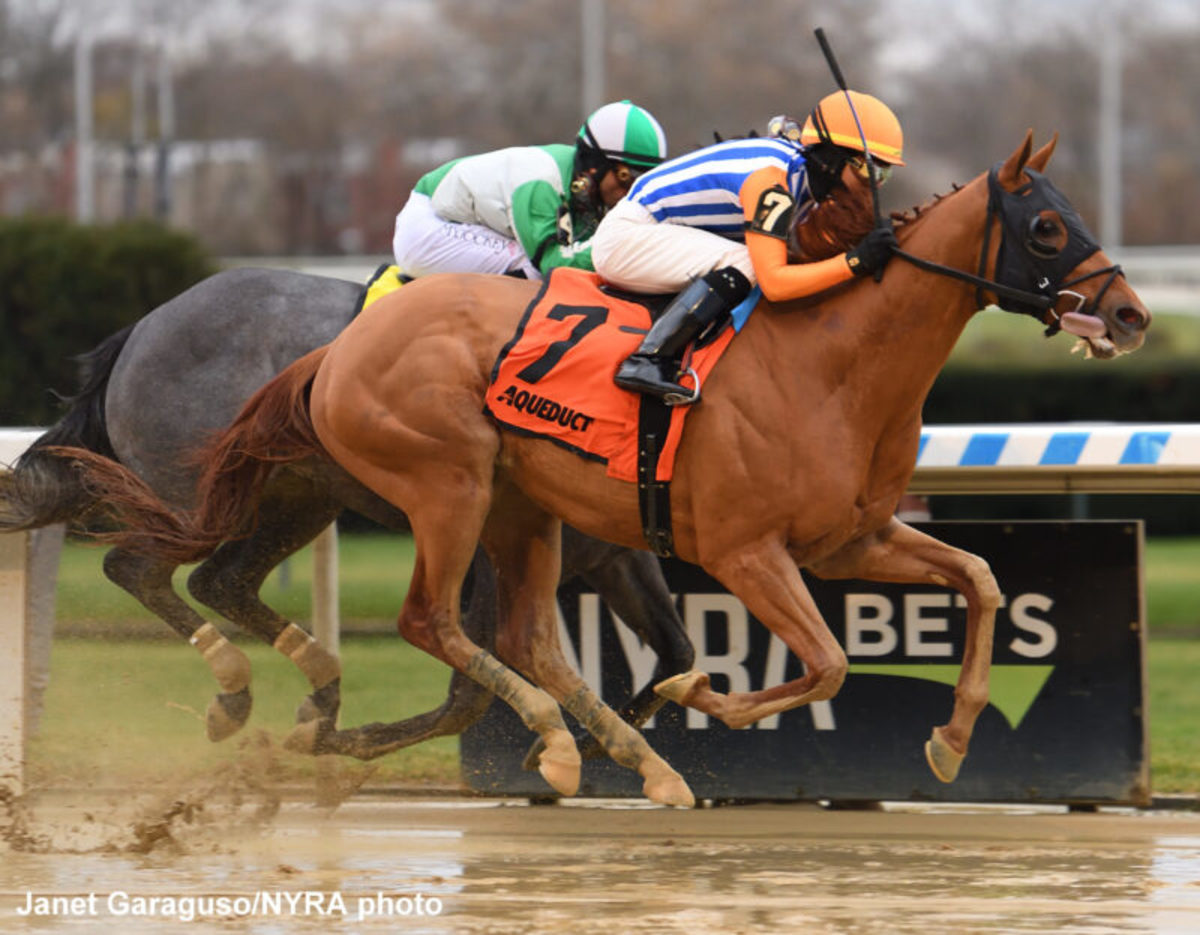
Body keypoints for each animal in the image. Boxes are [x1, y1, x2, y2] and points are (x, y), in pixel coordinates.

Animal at [0, 266, 696, 763]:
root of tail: (142, 328)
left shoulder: (614, 554)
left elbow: (677, 651)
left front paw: (599, 743)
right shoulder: (495, 554)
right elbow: (468, 696)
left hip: (297, 498)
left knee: (219, 580)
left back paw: (316, 686)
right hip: (196, 494)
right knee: (135, 567)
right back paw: (238, 692)